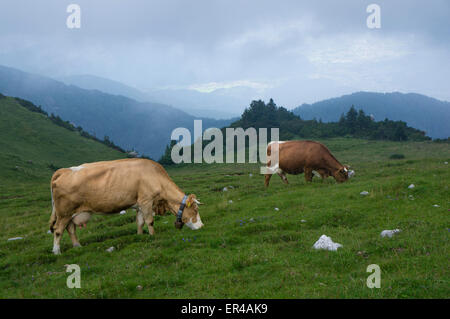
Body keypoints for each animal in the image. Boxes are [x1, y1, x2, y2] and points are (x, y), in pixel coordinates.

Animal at [49, 159, 204, 255]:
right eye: (195, 210)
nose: (202, 226)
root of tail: (64, 171)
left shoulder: (140, 204)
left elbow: (140, 222)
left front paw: (140, 236)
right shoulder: (146, 201)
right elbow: (150, 221)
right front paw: (153, 236)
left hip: (70, 213)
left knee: (71, 229)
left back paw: (77, 247)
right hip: (63, 212)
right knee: (58, 230)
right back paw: (57, 252)